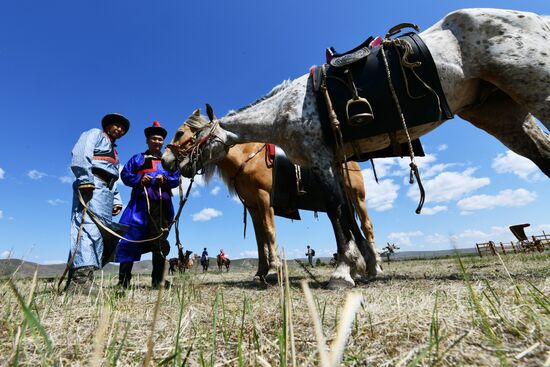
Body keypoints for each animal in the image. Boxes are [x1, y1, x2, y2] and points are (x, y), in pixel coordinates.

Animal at [164, 8, 550, 288]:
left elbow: (334, 215)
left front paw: (343, 270)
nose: (168, 162)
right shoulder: (322, 167)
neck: (282, 112)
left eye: (183, 132)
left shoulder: (315, 162)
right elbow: (339, 219)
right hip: (502, 115)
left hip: (536, 90)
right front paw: (359, 267)